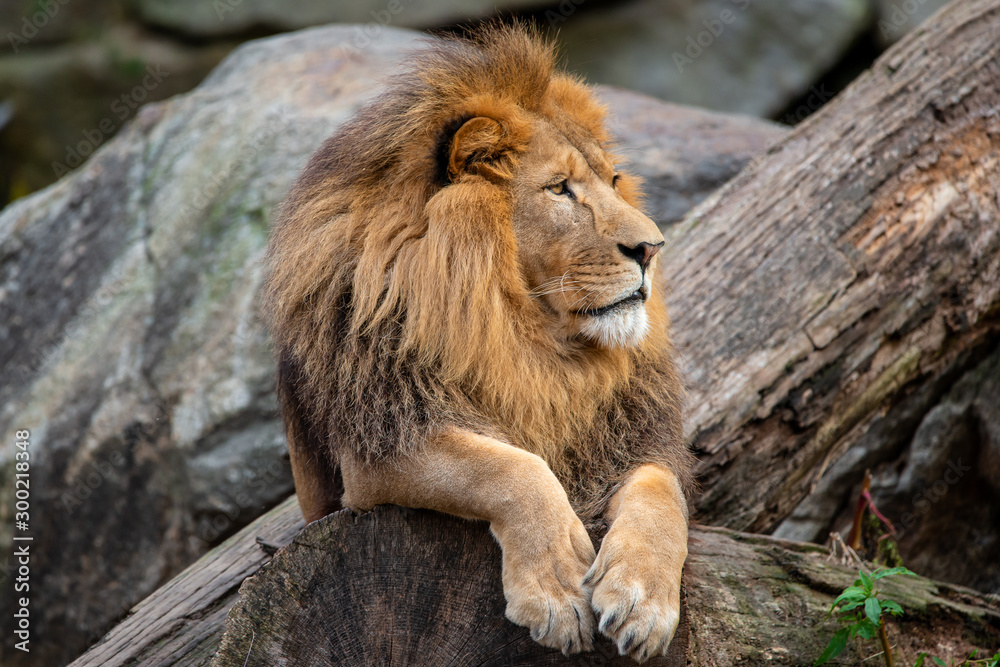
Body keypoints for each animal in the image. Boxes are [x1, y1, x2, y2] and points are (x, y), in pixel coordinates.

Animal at [264, 23, 694, 663]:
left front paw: (645, 598)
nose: (651, 247)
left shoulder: (636, 435)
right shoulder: (379, 444)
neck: (530, 342)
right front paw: (556, 589)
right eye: (560, 189)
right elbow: (511, 467)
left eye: (615, 181)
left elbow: (662, 495)